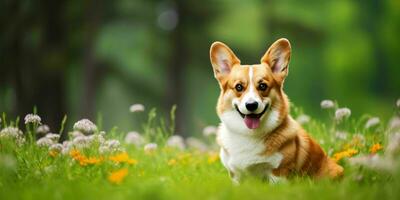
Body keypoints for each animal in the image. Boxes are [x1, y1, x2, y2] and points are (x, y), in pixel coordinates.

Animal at [209, 38, 344, 184]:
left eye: (263, 86)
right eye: (239, 87)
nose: (251, 105)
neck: (249, 135)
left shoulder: (278, 174)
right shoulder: (236, 176)